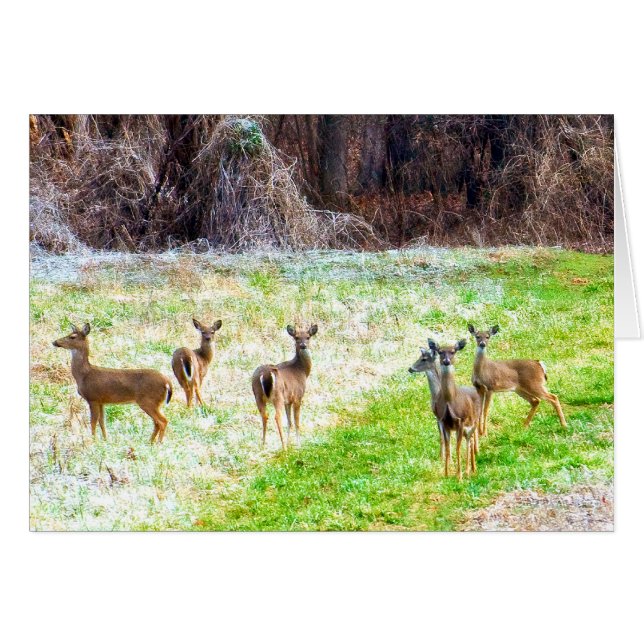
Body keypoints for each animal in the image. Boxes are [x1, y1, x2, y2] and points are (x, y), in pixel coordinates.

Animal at [428, 339, 481, 480]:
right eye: (440, 351)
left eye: (453, 351)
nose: (446, 361)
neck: (449, 400)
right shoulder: (444, 421)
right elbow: (447, 447)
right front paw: (446, 474)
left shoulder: (460, 421)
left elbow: (457, 447)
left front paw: (459, 475)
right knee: (469, 440)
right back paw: (470, 469)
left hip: (473, 421)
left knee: (470, 440)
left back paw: (471, 469)